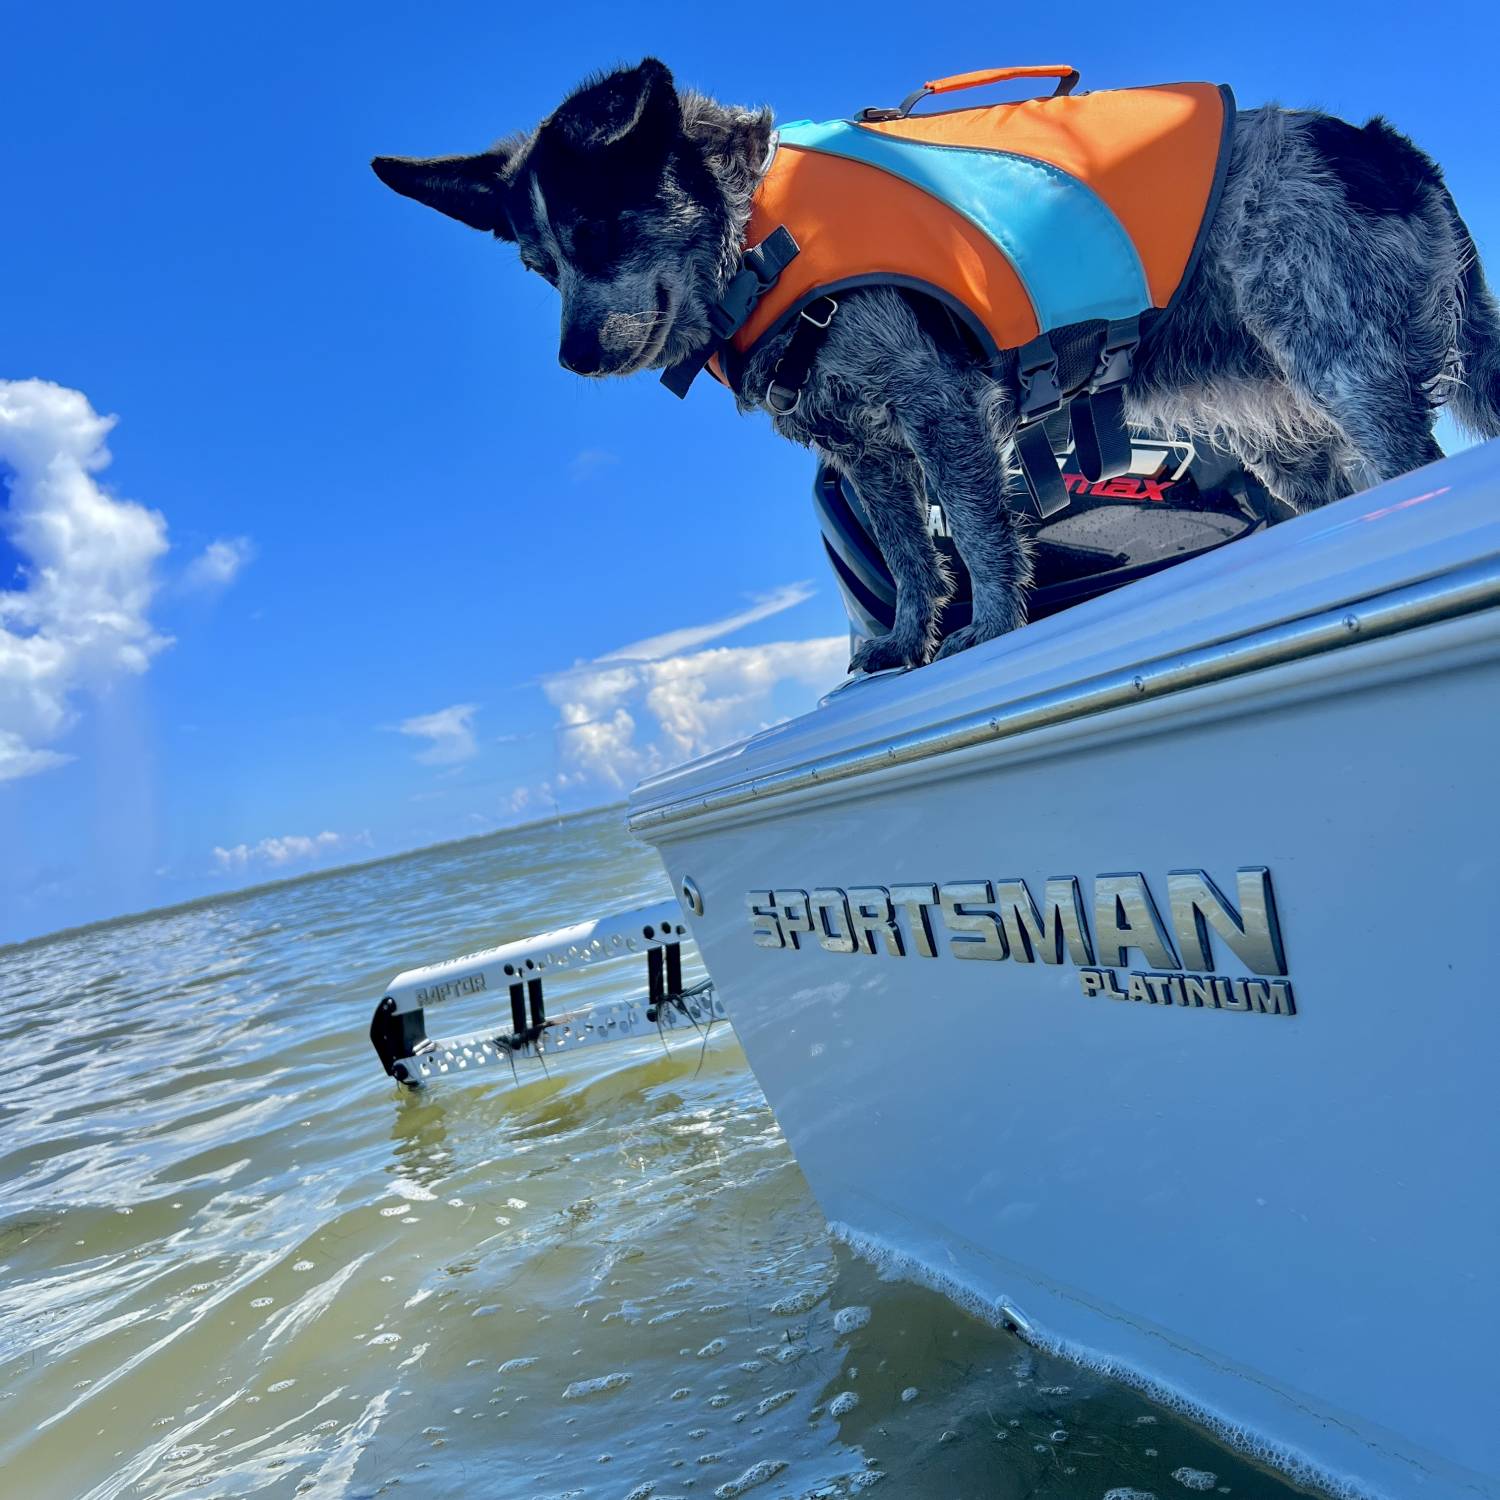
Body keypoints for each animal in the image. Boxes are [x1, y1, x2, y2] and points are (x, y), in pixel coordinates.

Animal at [372, 58, 1500, 669]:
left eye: (600, 229)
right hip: (1277, 421)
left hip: (1337, 352)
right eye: (537, 264)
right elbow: (913, 559)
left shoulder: (938, 406)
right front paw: (905, 644)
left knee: (1410, 458)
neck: (760, 233)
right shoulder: (864, 450)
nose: (571, 356)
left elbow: (980, 536)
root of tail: (1386, 150)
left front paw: (989, 626)